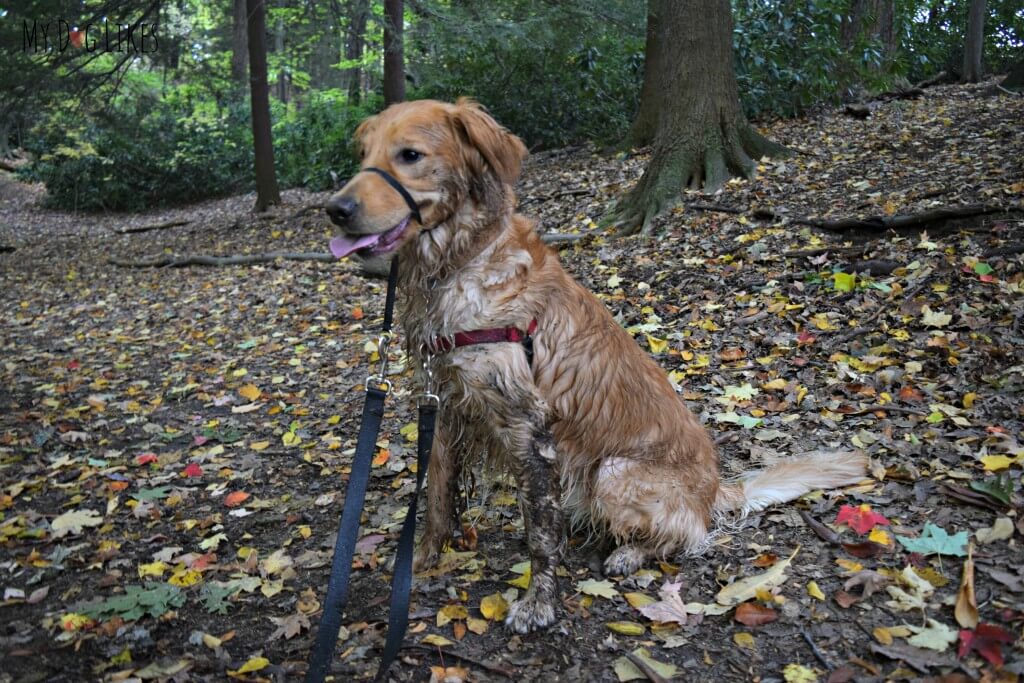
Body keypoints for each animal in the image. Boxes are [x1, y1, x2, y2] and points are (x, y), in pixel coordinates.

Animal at [323, 98, 868, 634]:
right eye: (363, 153)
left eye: (410, 154)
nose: (335, 209)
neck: (461, 262)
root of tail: (715, 489)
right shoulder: (443, 405)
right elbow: (435, 497)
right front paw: (419, 565)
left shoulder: (529, 428)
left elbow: (540, 537)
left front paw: (538, 605)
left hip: (614, 470)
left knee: (689, 534)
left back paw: (630, 553)